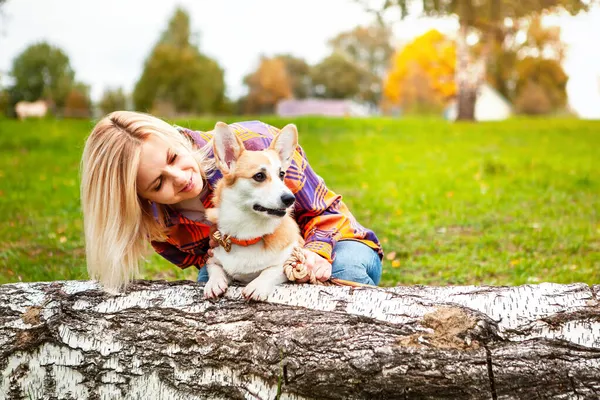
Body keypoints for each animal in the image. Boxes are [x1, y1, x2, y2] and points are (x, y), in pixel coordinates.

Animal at [203, 122, 304, 300]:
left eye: (282, 174)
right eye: (259, 176)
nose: (290, 199)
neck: (248, 235)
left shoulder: (288, 261)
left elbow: (272, 270)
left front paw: (257, 286)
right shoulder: (213, 257)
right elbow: (215, 267)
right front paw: (214, 283)